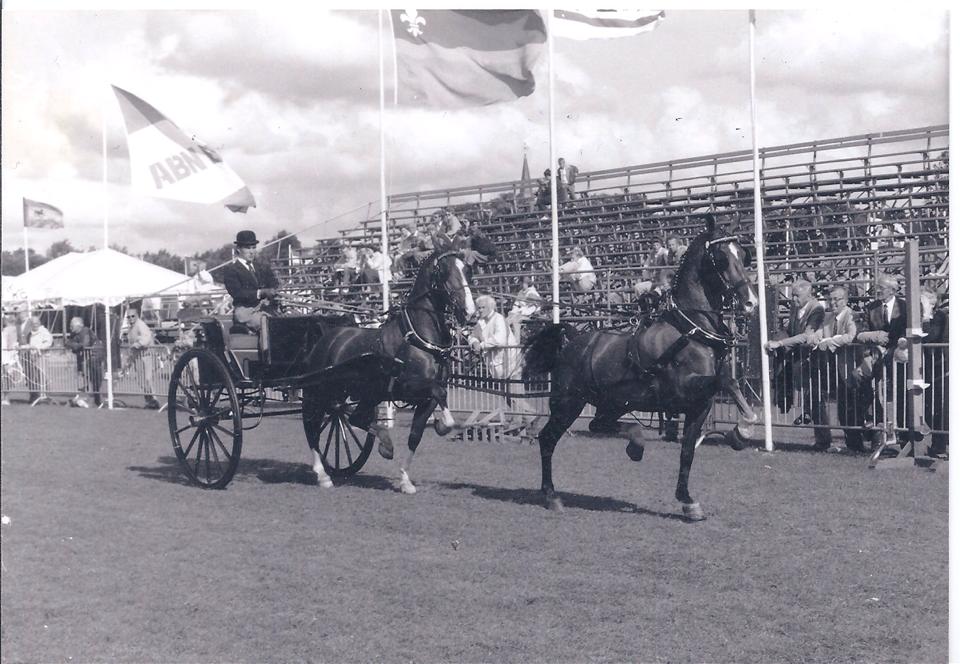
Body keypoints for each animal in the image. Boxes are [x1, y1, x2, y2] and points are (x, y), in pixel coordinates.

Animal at [302, 249, 474, 492]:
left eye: (467, 270)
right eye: (445, 272)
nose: (470, 313)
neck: (418, 338)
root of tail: (326, 335)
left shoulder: (425, 399)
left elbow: (415, 436)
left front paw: (405, 480)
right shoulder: (410, 386)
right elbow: (441, 396)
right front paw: (443, 424)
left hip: (366, 395)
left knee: (355, 418)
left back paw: (383, 444)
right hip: (320, 393)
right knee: (312, 427)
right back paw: (323, 474)